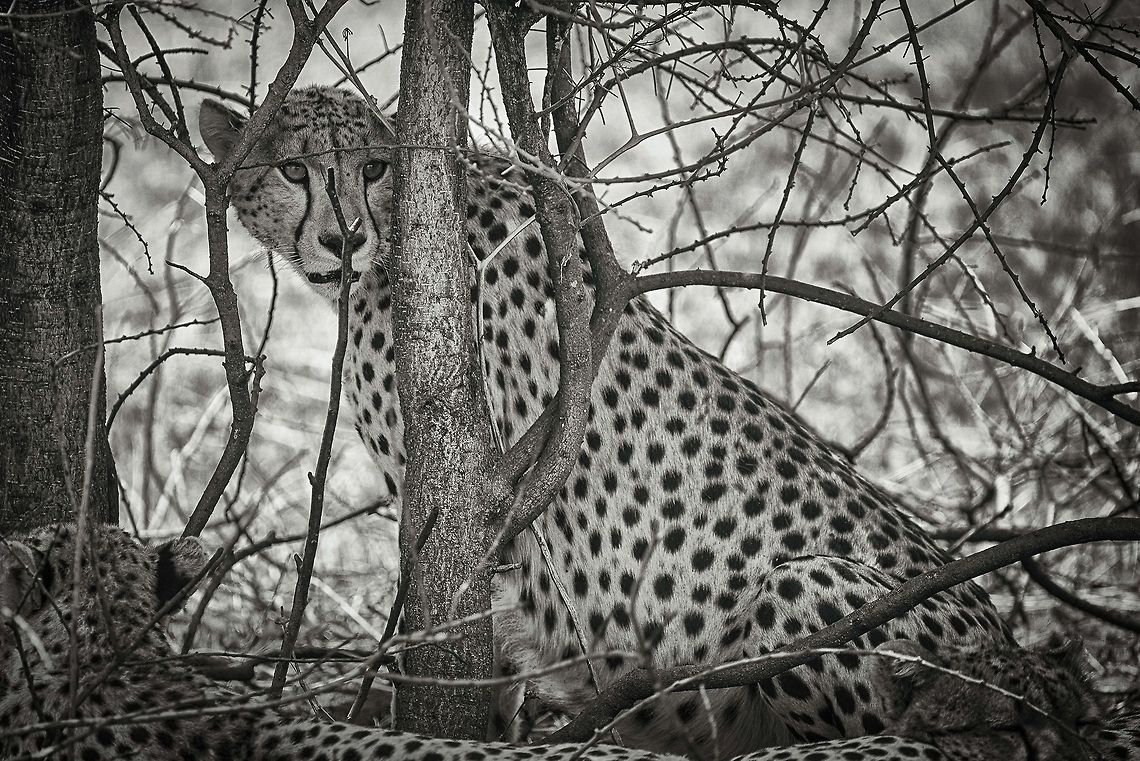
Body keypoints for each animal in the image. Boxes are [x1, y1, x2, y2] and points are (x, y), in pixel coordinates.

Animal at [199, 86, 1014, 755]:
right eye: (294, 171)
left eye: (372, 168)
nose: (343, 239)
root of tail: (1020, 662)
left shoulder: (478, 509)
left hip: (802, 585)